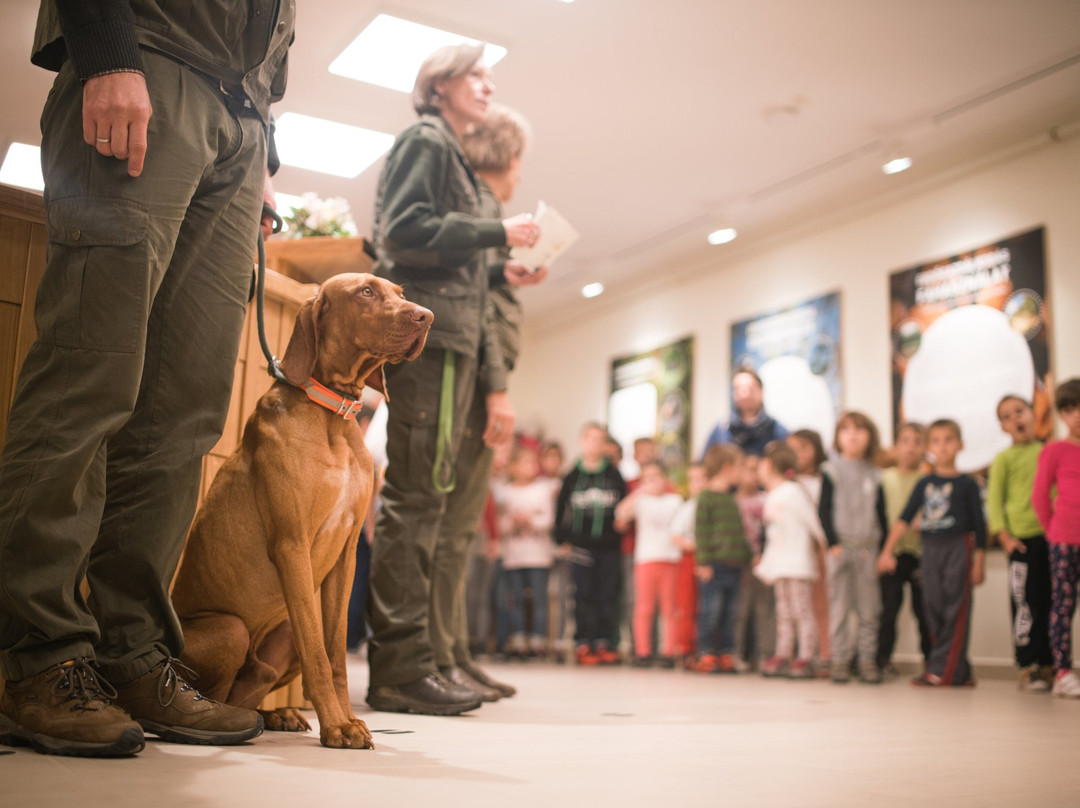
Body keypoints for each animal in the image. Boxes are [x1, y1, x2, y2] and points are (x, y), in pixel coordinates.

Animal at [170, 273, 432, 751]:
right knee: (216, 691)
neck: (332, 413)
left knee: (249, 688)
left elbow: (335, 654)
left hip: (280, 636)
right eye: (366, 291)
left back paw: (276, 714)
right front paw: (337, 726)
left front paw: (348, 718)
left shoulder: (346, 557)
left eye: (401, 294)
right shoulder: (292, 545)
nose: (427, 316)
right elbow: (318, 652)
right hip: (230, 629)